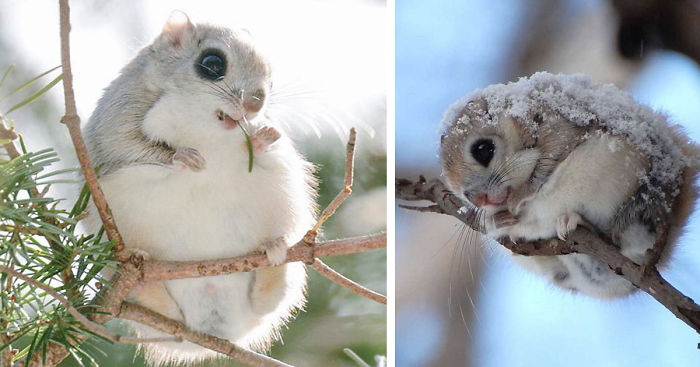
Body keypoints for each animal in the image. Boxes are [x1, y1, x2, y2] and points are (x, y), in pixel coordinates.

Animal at [80, 10, 316, 366]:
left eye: (271, 77)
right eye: (212, 63)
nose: (255, 104)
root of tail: (209, 332)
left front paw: (265, 137)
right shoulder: (116, 119)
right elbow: (128, 146)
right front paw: (183, 157)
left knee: (268, 300)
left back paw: (275, 252)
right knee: (157, 308)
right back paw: (140, 272)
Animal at [440, 72, 696, 300]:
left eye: (483, 149)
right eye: (461, 193)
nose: (478, 199)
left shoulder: (559, 127)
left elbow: (545, 166)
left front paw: (519, 196)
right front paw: (495, 219)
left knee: (620, 240)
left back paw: (575, 221)